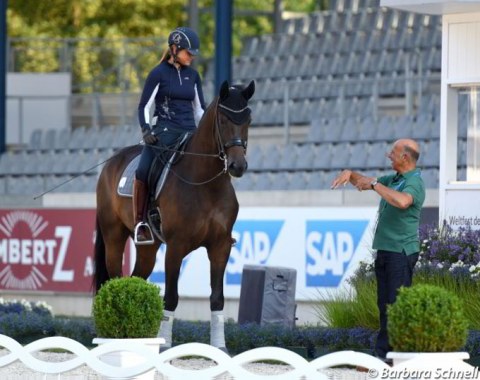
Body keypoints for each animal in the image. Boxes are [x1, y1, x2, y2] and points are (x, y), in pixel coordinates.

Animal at [93, 80, 255, 350]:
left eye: (248, 120)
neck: (205, 182)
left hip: (148, 247)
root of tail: (111, 162)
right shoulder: (176, 246)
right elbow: (170, 297)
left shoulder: (220, 246)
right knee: (115, 280)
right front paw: (165, 346)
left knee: (135, 279)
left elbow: (217, 298)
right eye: (223, 120)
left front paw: (220, 347)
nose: (238, 166)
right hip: (113, 236)